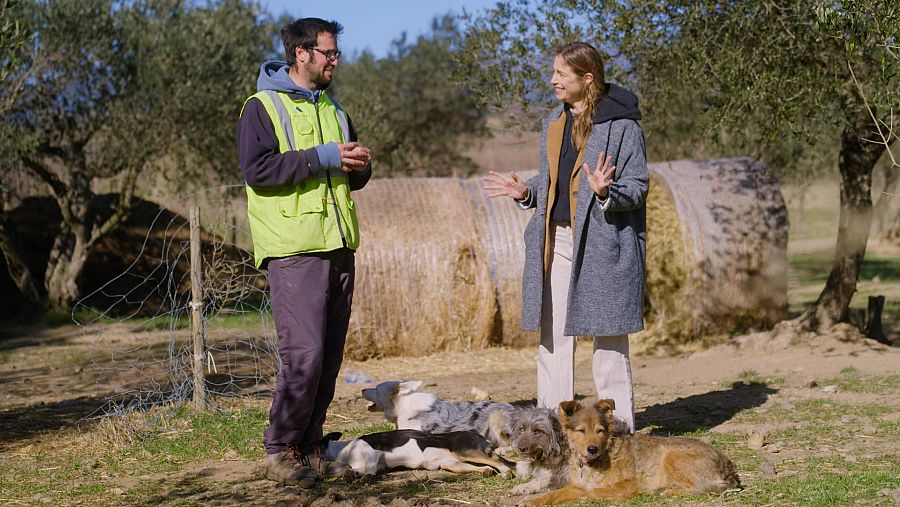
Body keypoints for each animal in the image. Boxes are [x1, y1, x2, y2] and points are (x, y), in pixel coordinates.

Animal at [524, 400, 740, 504]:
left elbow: (594, 491)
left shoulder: (631, 483)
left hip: (671, 456)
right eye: (581, 431)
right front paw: (530, 502)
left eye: (600, 431)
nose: (592, 449)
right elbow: (551, 495)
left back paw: (668, 490)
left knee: (700, 487)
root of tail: (729, 466)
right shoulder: (575, 486)